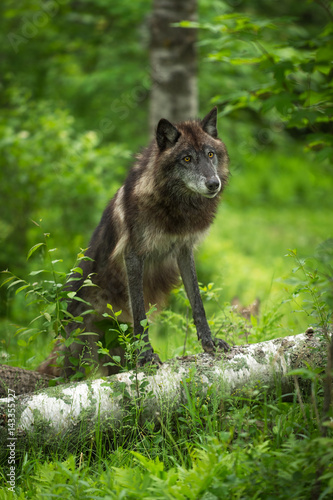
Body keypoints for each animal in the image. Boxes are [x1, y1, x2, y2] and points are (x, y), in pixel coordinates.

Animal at [38, 107, 228, 376]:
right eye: (187, 159)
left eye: (210, 154)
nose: (213, 184)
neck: (176, 208)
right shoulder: (134, 255)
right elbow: (139, 313)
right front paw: (146, 355)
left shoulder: (184, 251)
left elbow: (197, 303)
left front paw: (209, 342)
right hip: (81, 355)